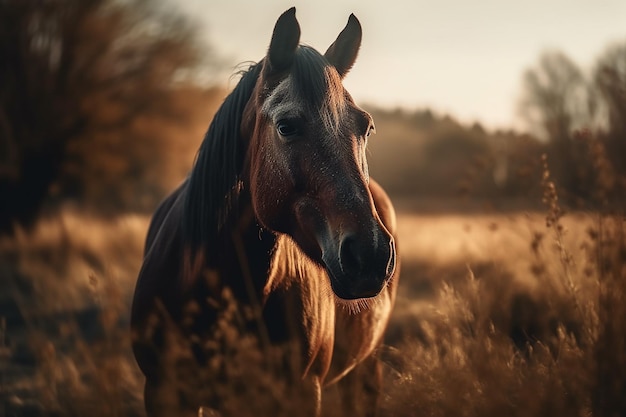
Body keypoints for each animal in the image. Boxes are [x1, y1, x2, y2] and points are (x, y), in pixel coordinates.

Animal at [130, 7, 398, 416]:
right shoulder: (163, 391)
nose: (370, 255)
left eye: (366, 127)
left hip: (365, 368)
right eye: (286, 126)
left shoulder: (301, 393)